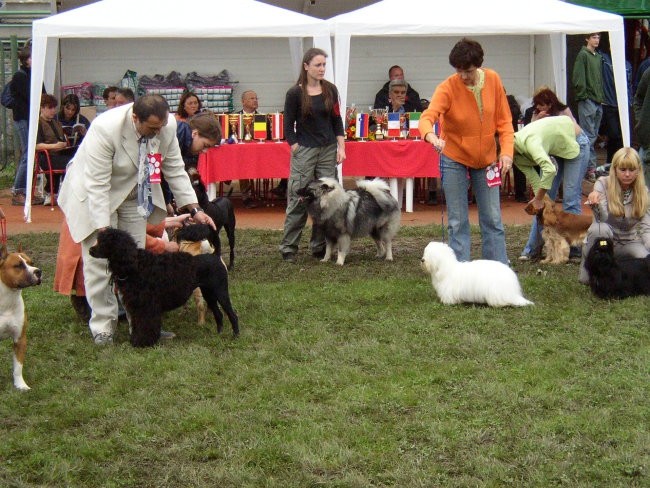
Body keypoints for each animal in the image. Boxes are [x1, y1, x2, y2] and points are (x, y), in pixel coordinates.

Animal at [0, 246, 41, 390]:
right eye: (18, 265)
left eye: (31, 263)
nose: (38, 271)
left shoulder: (20, 339)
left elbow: (18, 366)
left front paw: (20, 385)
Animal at [87, 227, 237, 346]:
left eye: (105, 242)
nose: (90, 250)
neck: (135, 265)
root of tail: (215, 255)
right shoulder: (137, 306)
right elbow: (137, 323)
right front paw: (136, 339)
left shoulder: (147, 306)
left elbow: (145, 324)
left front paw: (142, 342)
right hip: (209, 293)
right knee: (219, 314)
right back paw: (219, 334)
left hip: (220, 292)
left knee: (232, 314)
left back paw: (235, 336)